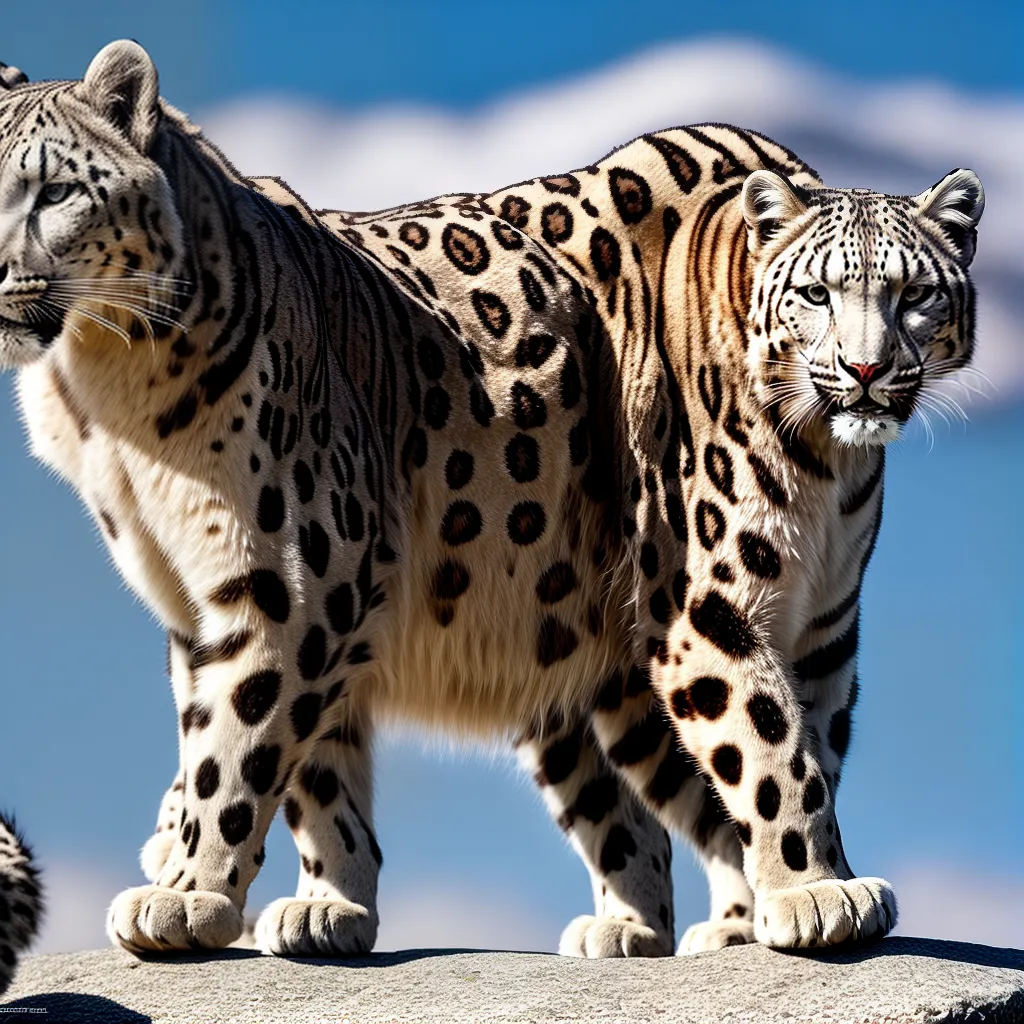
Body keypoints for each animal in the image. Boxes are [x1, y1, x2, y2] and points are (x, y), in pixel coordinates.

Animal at [0, 41, 983, 959]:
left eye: (53, 192)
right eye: (816, 294)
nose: (865, 368)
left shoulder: (299, 577)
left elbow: (784, 748)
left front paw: (819, 893)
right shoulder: (246, 596)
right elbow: (291, 756)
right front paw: (321, 905)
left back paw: (728, 918)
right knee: (637, 809)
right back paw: (637, 929)